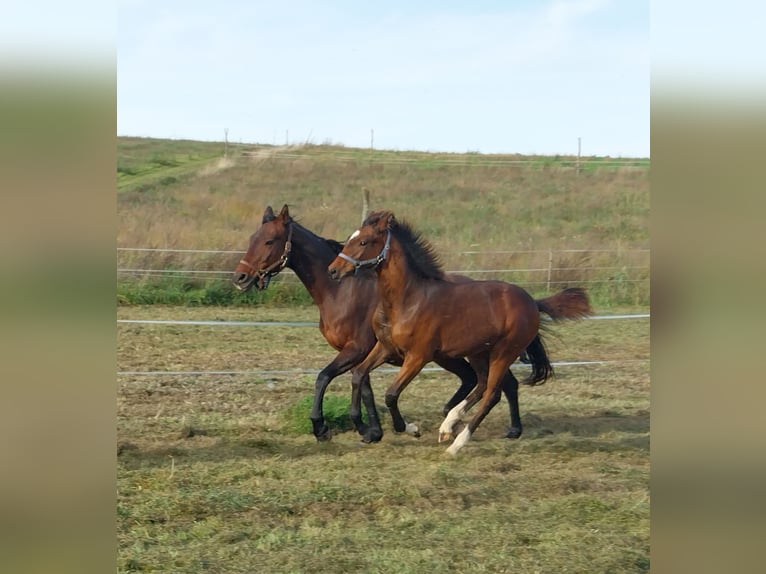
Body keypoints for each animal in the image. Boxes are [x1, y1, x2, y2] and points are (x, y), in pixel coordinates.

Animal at [234, 205, 528, 444]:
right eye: (252, 239)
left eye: (269, 241)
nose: (240, 277)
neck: (341, 291)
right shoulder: (368, 351)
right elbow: (363, 385)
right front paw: (371, 430)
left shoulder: (357, 348)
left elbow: (325, 377)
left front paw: (325, 428)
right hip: (457, 354)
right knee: (482, 380)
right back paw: (456, 420)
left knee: (499, 383)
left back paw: (501, 428)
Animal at [328, 209, 592, 456]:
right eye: (350, 238)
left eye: (364, 242)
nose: (333, 271)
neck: (408, 300)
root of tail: (532, 303)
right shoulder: (385, 347)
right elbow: (358, 375)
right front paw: (364, 428)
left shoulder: (418, 356)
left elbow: (391, 394)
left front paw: (411, 429)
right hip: (478, 353)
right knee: (483, 385)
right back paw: (449, 424)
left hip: (504, 352)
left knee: (491, 393)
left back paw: (457, 443)